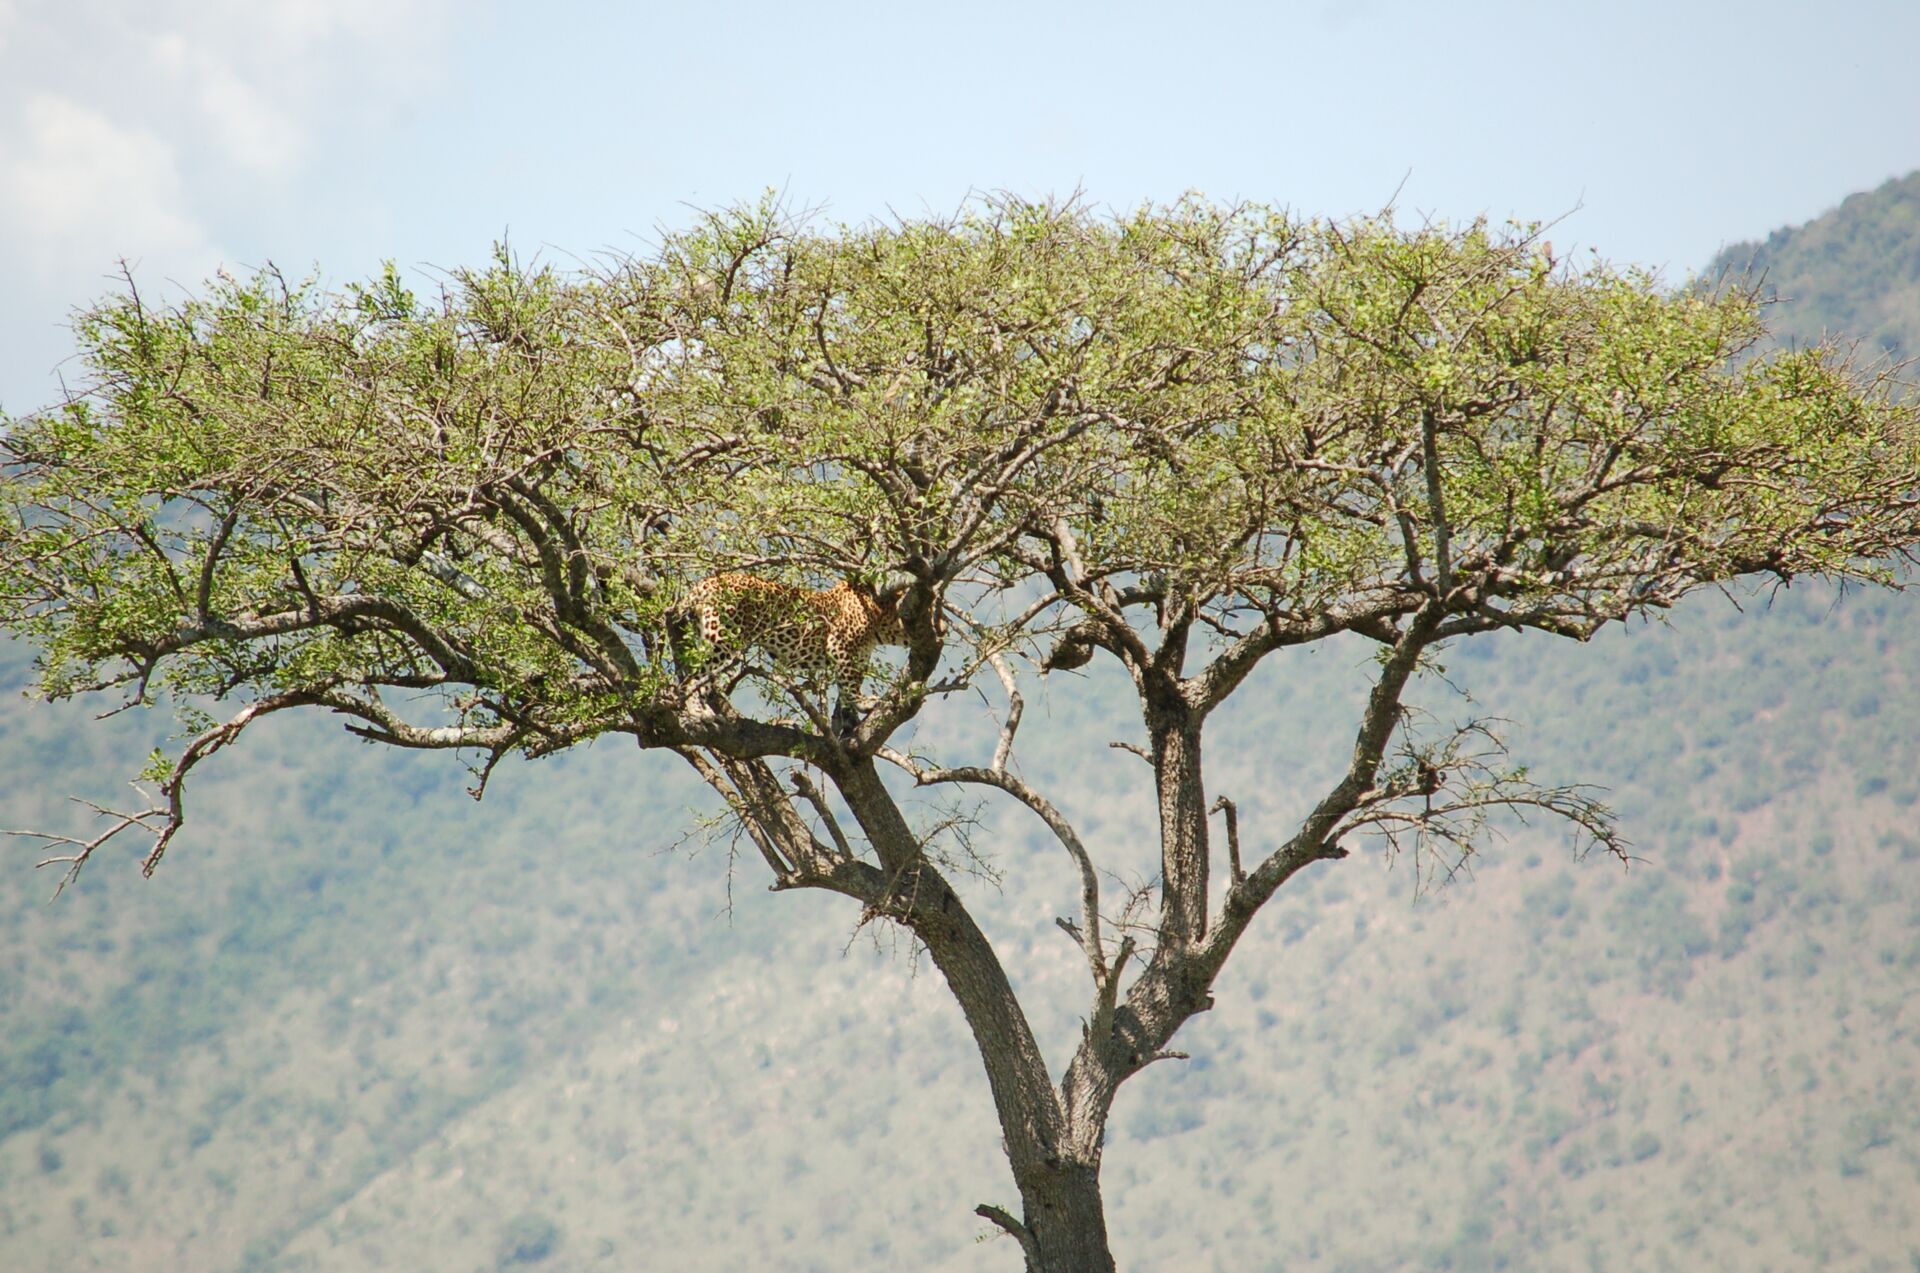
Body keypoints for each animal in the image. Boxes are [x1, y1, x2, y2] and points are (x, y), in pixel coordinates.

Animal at [670, 572, 907, 733]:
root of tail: (705, 582)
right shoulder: (840, 646)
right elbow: (850, 686)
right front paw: (864, 703)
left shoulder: (858, 658)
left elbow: (847, 690)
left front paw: (850, 721)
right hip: (723, 639)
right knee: (692, 679)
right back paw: (699, 713)